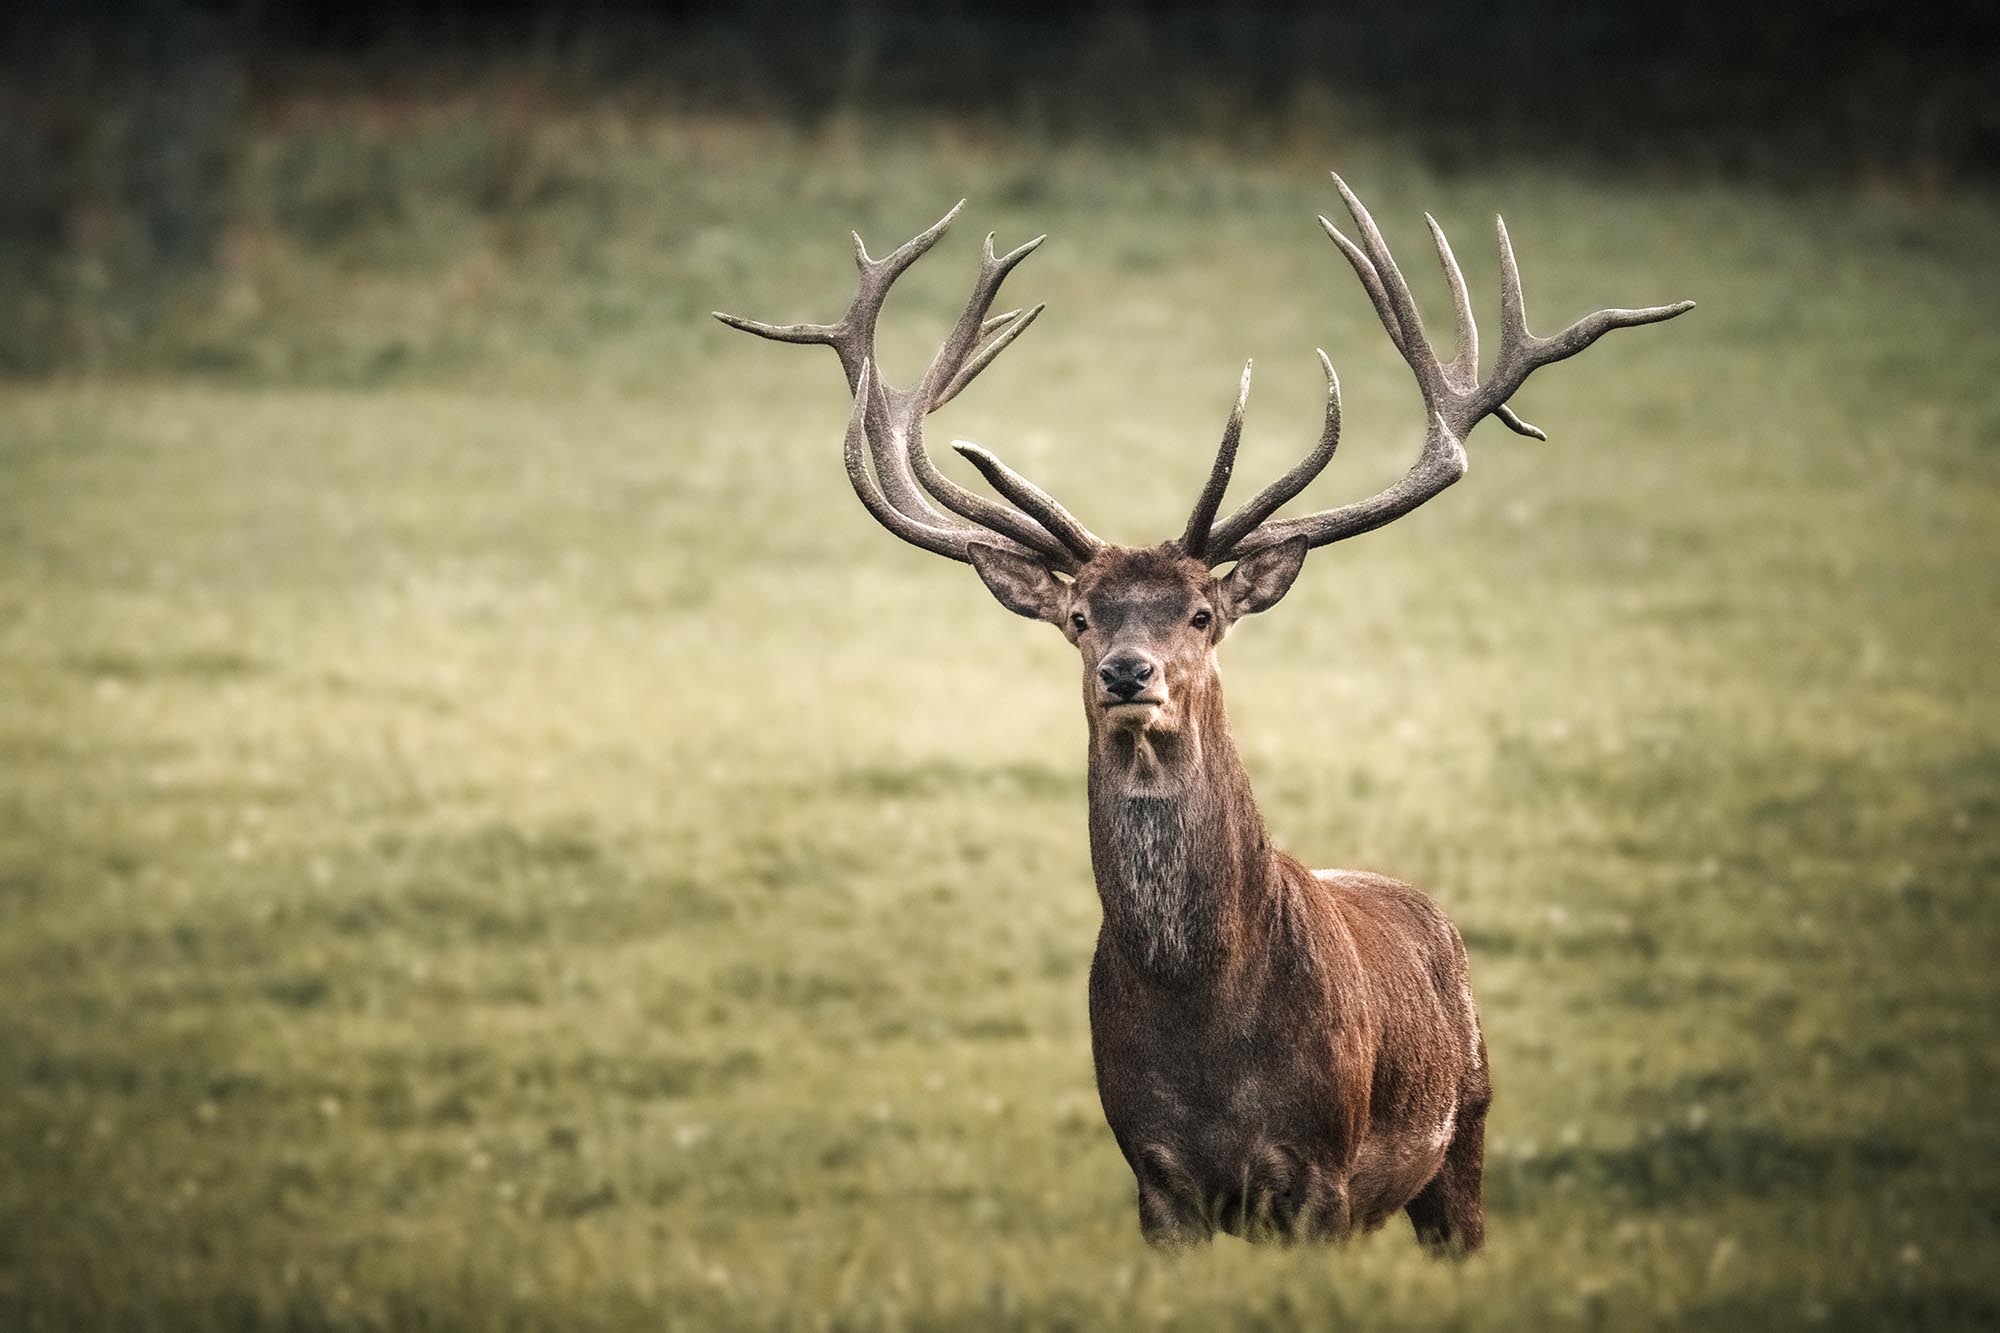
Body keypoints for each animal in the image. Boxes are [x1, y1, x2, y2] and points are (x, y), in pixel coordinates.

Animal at [715, 174, 1692, 1253]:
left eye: (1201, 612)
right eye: (1079, 616)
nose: (1127, 673)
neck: (1204, 1025)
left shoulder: (1319, 1174)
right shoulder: (1154, 1177)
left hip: (1464, 1128)